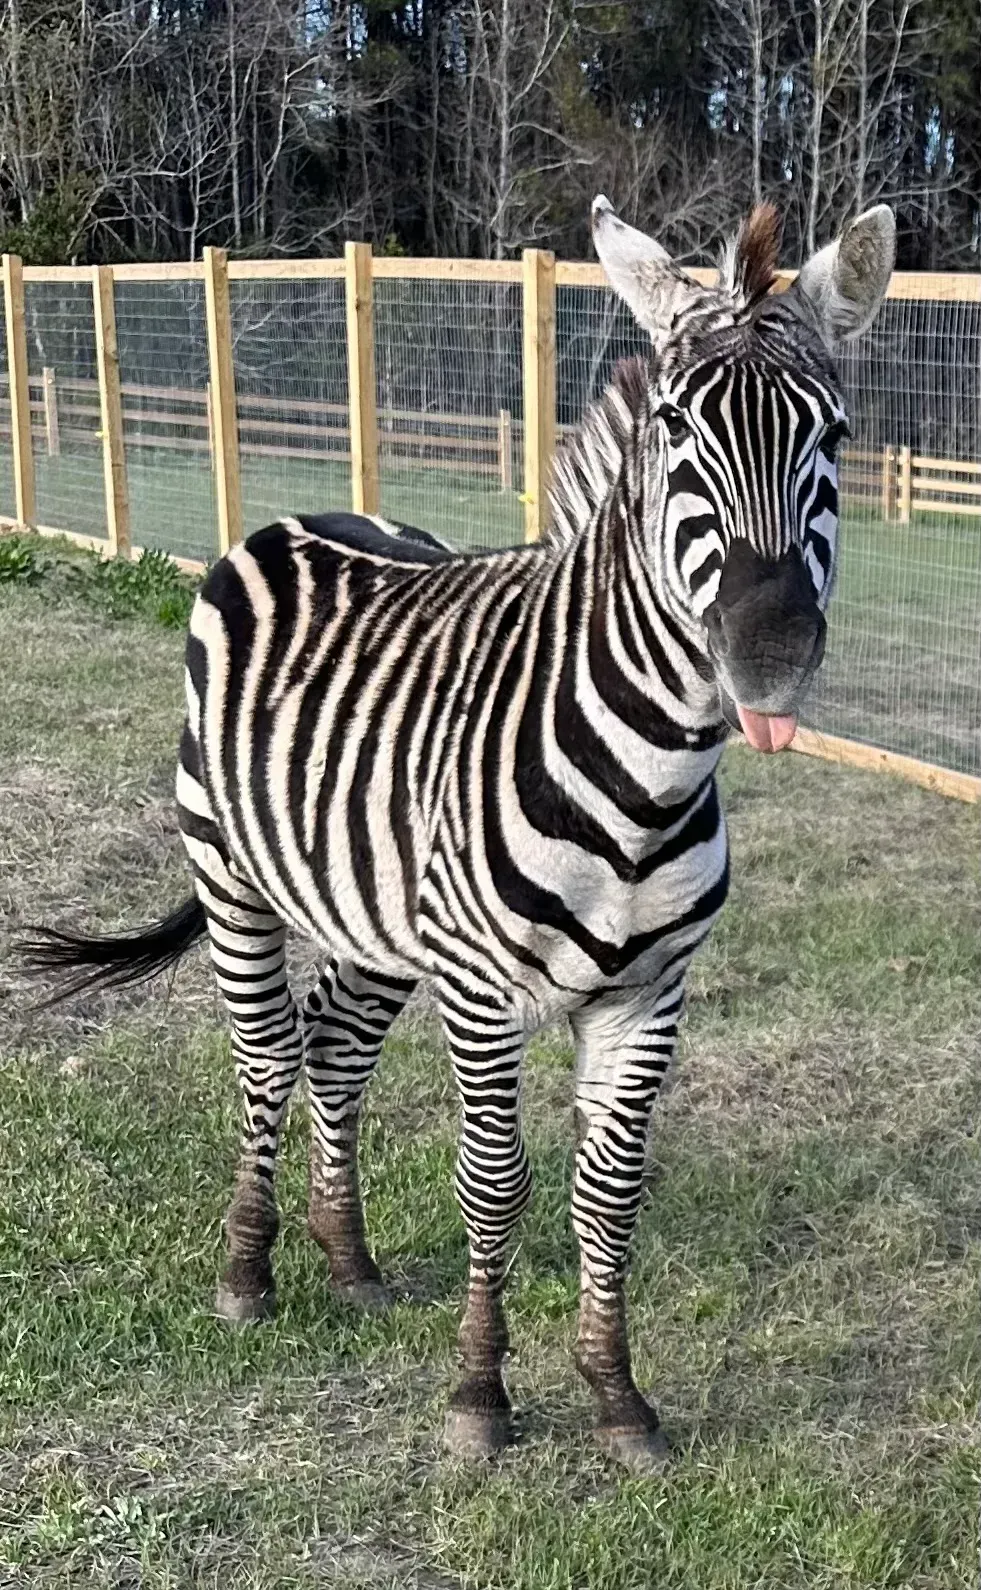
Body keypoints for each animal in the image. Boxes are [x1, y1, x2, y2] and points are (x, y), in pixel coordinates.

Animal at [21, 197, 895, 1472]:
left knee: (334, 1046)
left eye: (831, 432)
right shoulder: (481, 992)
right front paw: (480, 1395)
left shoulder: (650, 998)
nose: (771, 655)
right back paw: (249, 1271)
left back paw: (349, 1261)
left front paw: (616, 1398)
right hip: (232, 875)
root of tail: (302, 514)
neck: (650, 780)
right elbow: (496, 1183)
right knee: (268, 1053)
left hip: (378, 920)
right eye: (677, 427)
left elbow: (609, 1193)